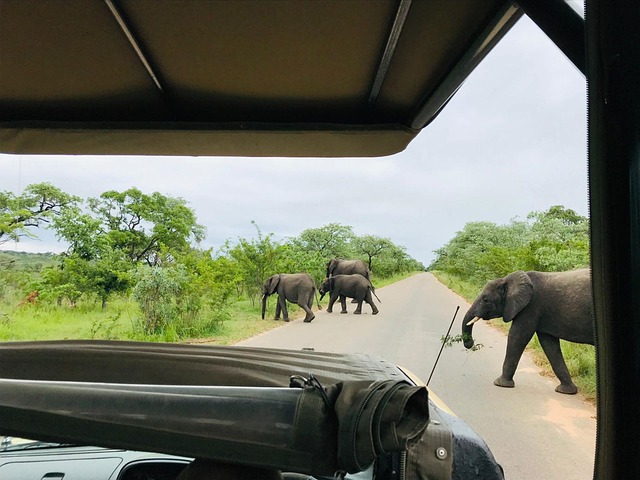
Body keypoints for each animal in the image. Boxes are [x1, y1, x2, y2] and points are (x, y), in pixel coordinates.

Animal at [460, 268, 596, 396]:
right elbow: (549, 345)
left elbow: (517, 337)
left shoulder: (531, 307)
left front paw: (500, 384)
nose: (470, 344)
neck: (506, 280)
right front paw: (566, 391)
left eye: (485, 299)